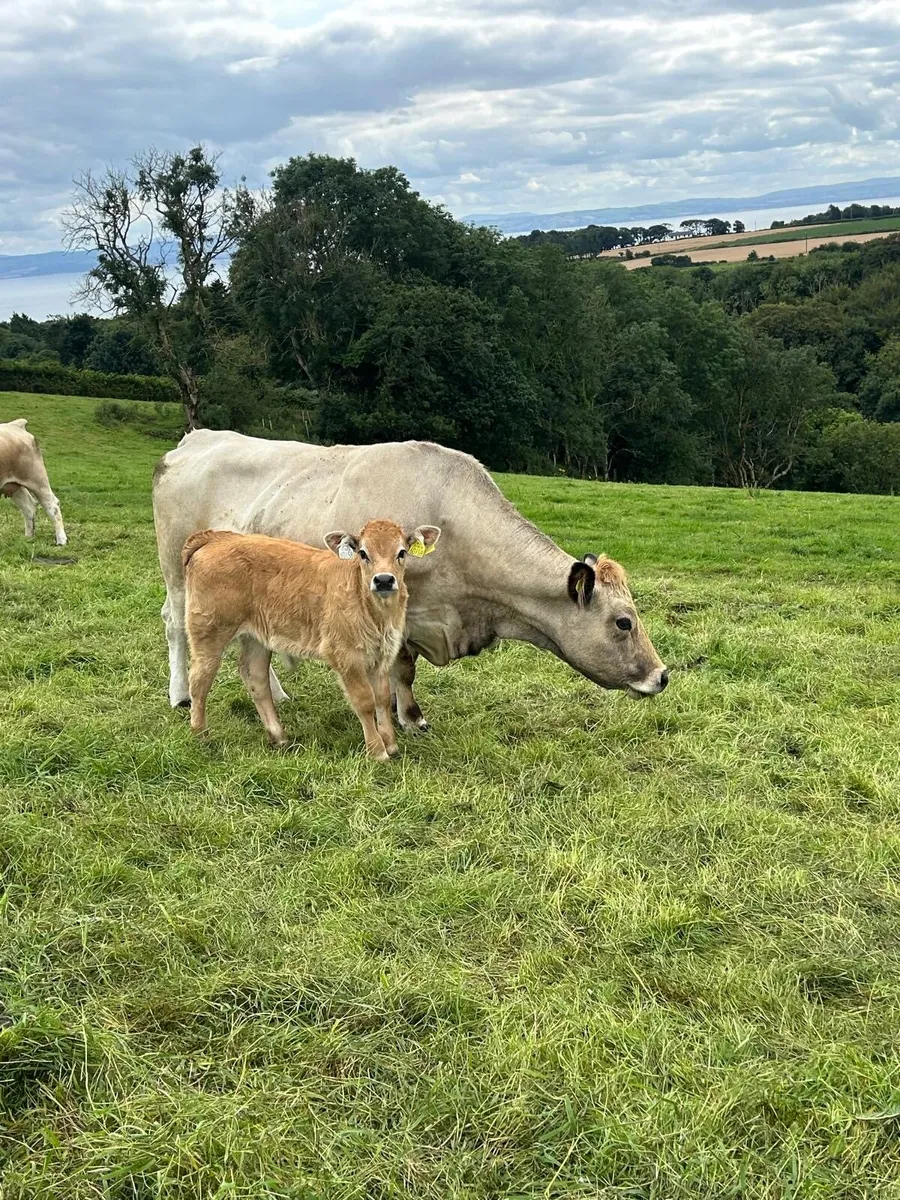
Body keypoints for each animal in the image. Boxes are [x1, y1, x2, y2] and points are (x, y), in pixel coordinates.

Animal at [153, 432, 668, 729]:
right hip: (176, 572)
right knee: (174, 624)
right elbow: (401, 670)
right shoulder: (398, 611)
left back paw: (278, 693)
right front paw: (408, 717)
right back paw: (180, 695)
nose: (662, 676)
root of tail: (195, 438)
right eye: (624, 622)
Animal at [182, 519, 440, 760]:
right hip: (208, 632)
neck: (375, 613)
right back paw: (200, 735)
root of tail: (217, 538)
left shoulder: (382, 656)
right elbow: (365, 701)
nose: (384, 580)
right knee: (199, 681)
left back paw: (279, 737)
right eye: (363, 553)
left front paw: (391, 745)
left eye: (402, 552)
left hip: (256, 638)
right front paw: (378, 752)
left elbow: (383, 700)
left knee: (255, 677)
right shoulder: (346, 656)